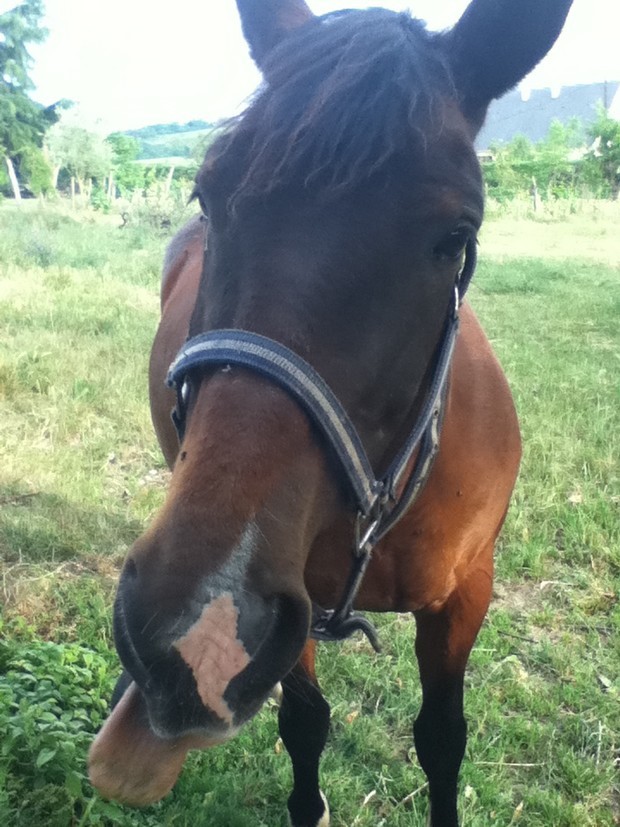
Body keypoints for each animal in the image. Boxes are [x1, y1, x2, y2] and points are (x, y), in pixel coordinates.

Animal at [89, 1, 572, 824]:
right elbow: (306, 719)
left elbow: (442, 735)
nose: (198, 631)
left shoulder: (468, 593)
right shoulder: (292, 601)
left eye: (457, 235)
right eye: (207, 197)